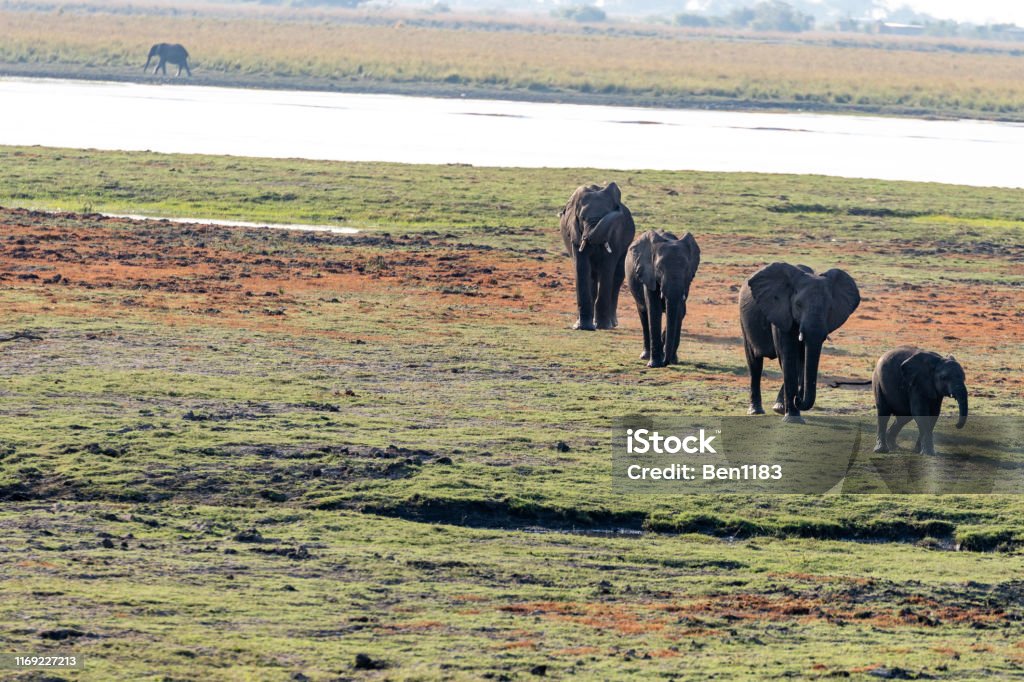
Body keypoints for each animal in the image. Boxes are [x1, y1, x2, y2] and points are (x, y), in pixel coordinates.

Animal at [557, 180, 634, 329]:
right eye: (582, 218)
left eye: (606, 215)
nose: (619, 208)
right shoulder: (575, 233)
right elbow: (581, 268)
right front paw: (583, 327)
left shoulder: (615, 236)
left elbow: (607, 268)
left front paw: (603, 326)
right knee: (592, 278)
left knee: (616, 279)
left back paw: (612, 323)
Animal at [622, 228, 704, 366]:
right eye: (659, 268)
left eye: (686, 268)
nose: (666, 361)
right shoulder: (648, 274)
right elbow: (654, 310)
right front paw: (654, 364)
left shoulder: (686, 281)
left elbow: (679, 312)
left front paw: (672, 359)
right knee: (644, 314)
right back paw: (646, 356)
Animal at [741, 260, 860, 419]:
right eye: (798, 305)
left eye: (829, 308)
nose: (798, 398)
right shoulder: (781, 311)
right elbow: (788, 356)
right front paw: (791, 417)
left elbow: (801, 359)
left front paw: (786, 410)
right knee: (754, 363)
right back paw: (756, 411)